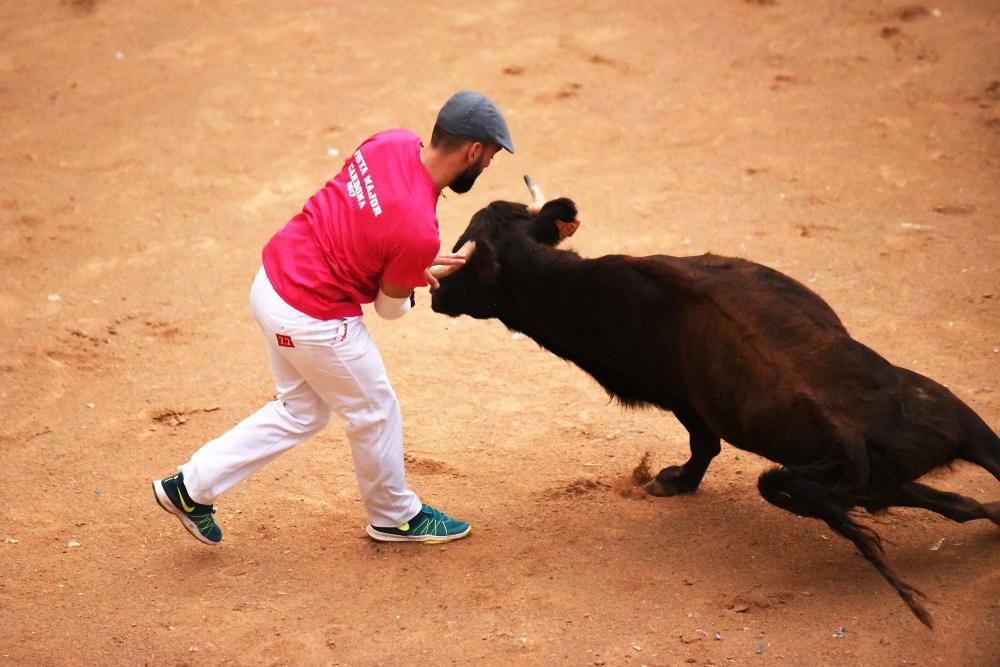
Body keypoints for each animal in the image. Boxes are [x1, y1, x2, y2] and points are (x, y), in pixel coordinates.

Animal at [432, 190, 1000, 628]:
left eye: (464, 256)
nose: (434, 295)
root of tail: (851, 433)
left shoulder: (683, 399)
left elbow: (703, 444)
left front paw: (673, 481)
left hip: (866, 478)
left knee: (953, 504)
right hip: (940, 443)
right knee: (962, 503)